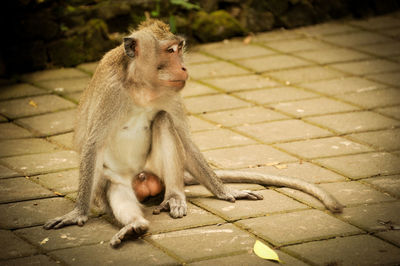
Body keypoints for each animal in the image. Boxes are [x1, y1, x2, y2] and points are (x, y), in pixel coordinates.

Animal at [43, 19, 344, 248]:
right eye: (170, 50)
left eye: (180, 49)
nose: (184, 67)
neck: (142, 88)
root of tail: (144, 180)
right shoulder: (111, 92)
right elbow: (93, 144)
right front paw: (78, 213)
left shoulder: (172, 95)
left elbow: (185, 141)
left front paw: (225, 192)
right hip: (117, 180)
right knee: (115, 190)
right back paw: (135, 225)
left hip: (156, 170)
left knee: (164, 122)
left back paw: (175, 197)